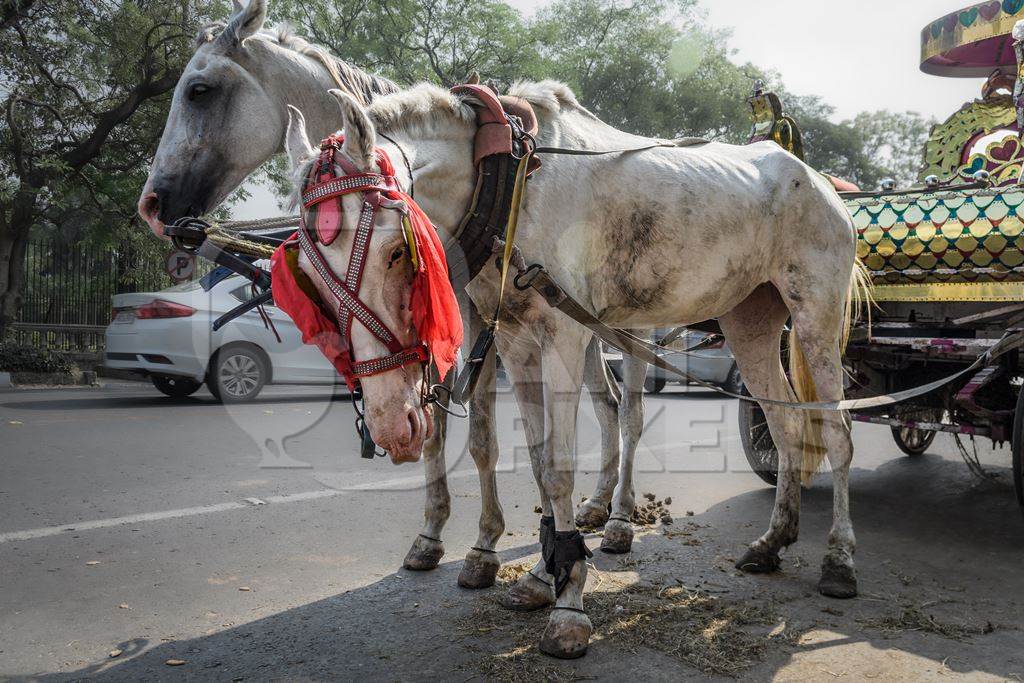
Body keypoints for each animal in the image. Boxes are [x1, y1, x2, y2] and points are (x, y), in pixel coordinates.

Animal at [132, 0, 634, 589]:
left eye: (199, 90)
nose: (152, 204)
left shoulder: (476, 327)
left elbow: (482, 436)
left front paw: (485, 546)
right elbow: (437, 427)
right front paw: (432, 535)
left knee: (632, 405)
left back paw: (621, 519)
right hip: (588, 328)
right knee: (608, 401)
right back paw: (597, 505)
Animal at [286, 82, 864, 659]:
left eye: (394, 252)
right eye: (308, 275)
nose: (388, 425)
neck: (508, 179)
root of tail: (821, 183)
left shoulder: (563, 335)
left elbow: (560, 467)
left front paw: (569, 606)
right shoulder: (514, 340)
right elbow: (538, 460)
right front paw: (544, 575)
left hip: (816, 310)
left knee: (835, 430)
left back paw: (838, 559)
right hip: (749, 318)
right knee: (786, 423)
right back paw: (772, 541)